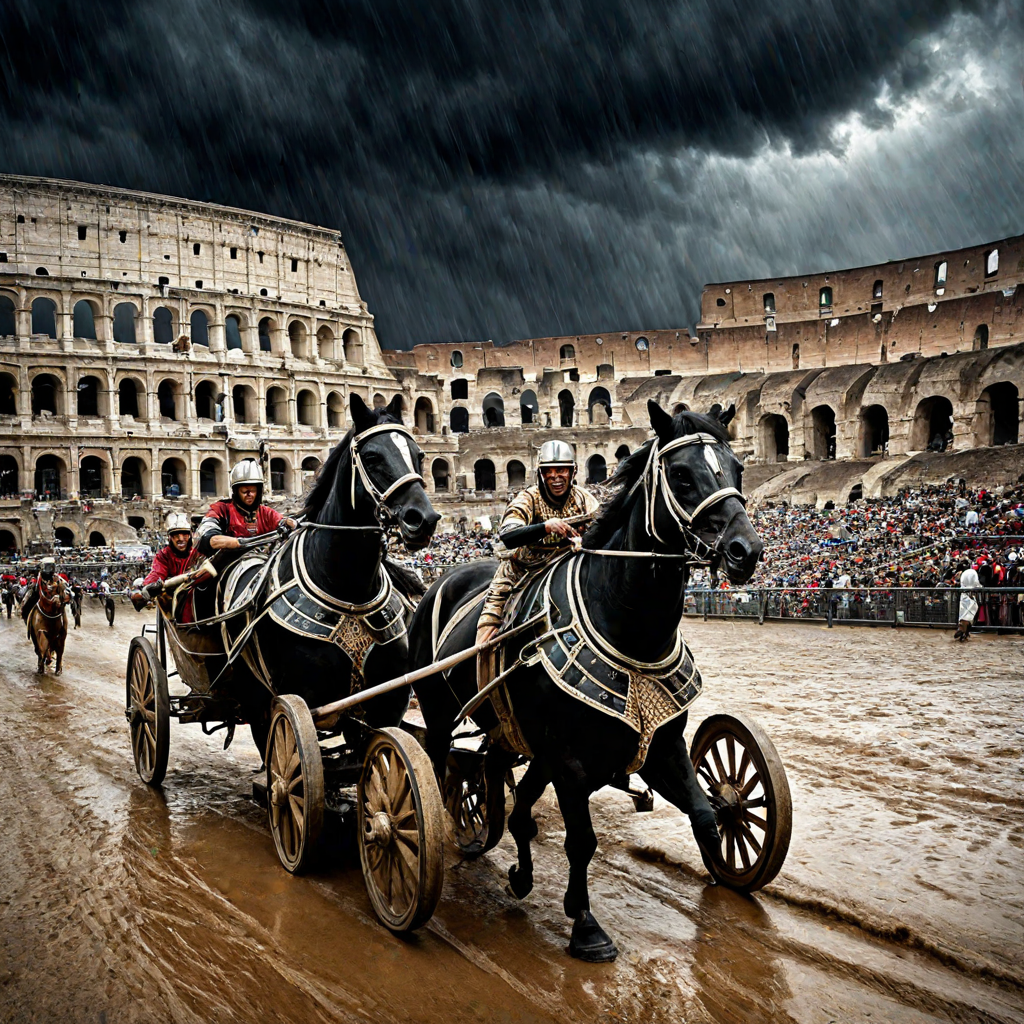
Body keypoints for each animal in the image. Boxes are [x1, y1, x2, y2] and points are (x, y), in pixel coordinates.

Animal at [405, 399, 761, 958]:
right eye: (681, 475)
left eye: (737, 468)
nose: (745, 550)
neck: (627, 628)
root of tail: (439, 579)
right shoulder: (569, 760)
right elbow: (581, 841)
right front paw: (586, 925)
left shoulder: (660, 742)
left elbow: (706, 814)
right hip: (443, 714)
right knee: (441, 764)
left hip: (515, 733)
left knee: (504, 784)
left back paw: (518, 867)